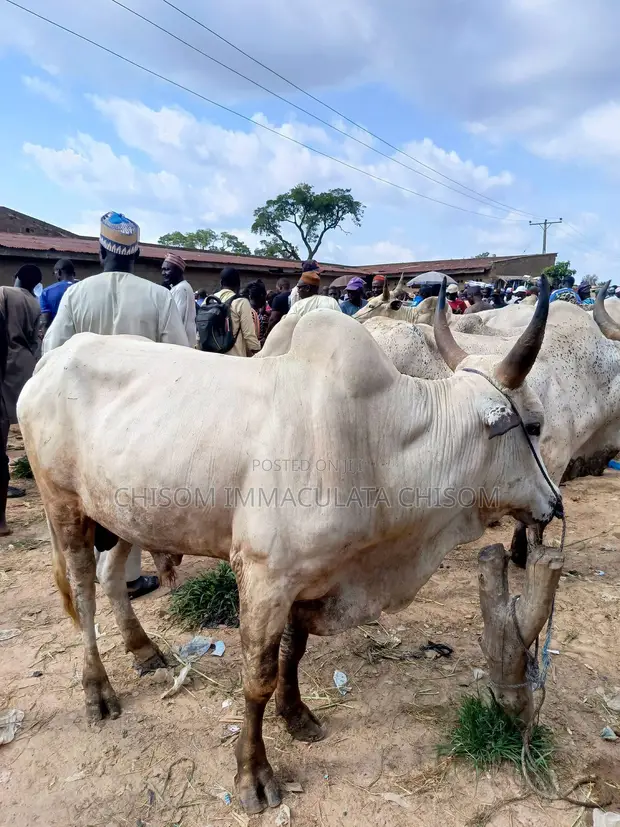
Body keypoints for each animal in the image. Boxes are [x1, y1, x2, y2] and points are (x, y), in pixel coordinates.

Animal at [17, 286, 559, 815]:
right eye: (533, 425)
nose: (553, 504)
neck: (375, 441)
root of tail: (54, 358)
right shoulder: (265, 576)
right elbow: (257, 678)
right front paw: (253, 773)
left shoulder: (312, 575)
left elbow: (291, 654)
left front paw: (296, 714)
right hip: (63, 506)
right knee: (83, 593)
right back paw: (98, 691)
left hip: (125, 511)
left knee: (112, 578)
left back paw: (144, 650)